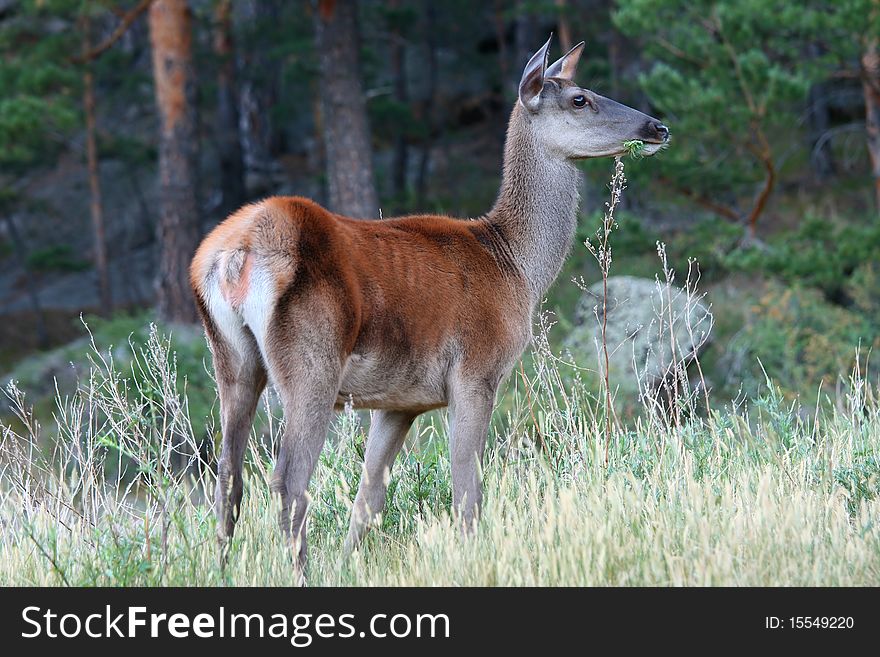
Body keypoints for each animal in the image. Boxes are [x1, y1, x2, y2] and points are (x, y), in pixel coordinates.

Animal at [187, 34, 668, 576]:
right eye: (580, 98)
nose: (657, 127)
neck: (516, 266)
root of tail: (231, 255)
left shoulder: (402, 399)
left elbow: (369, 497)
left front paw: (352, 565)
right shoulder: (477, 370)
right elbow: (467, 489)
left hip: (233, 359)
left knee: (227, 476)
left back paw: (221, 567)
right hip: (311, 360)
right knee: (288, 480)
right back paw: (299, 572)